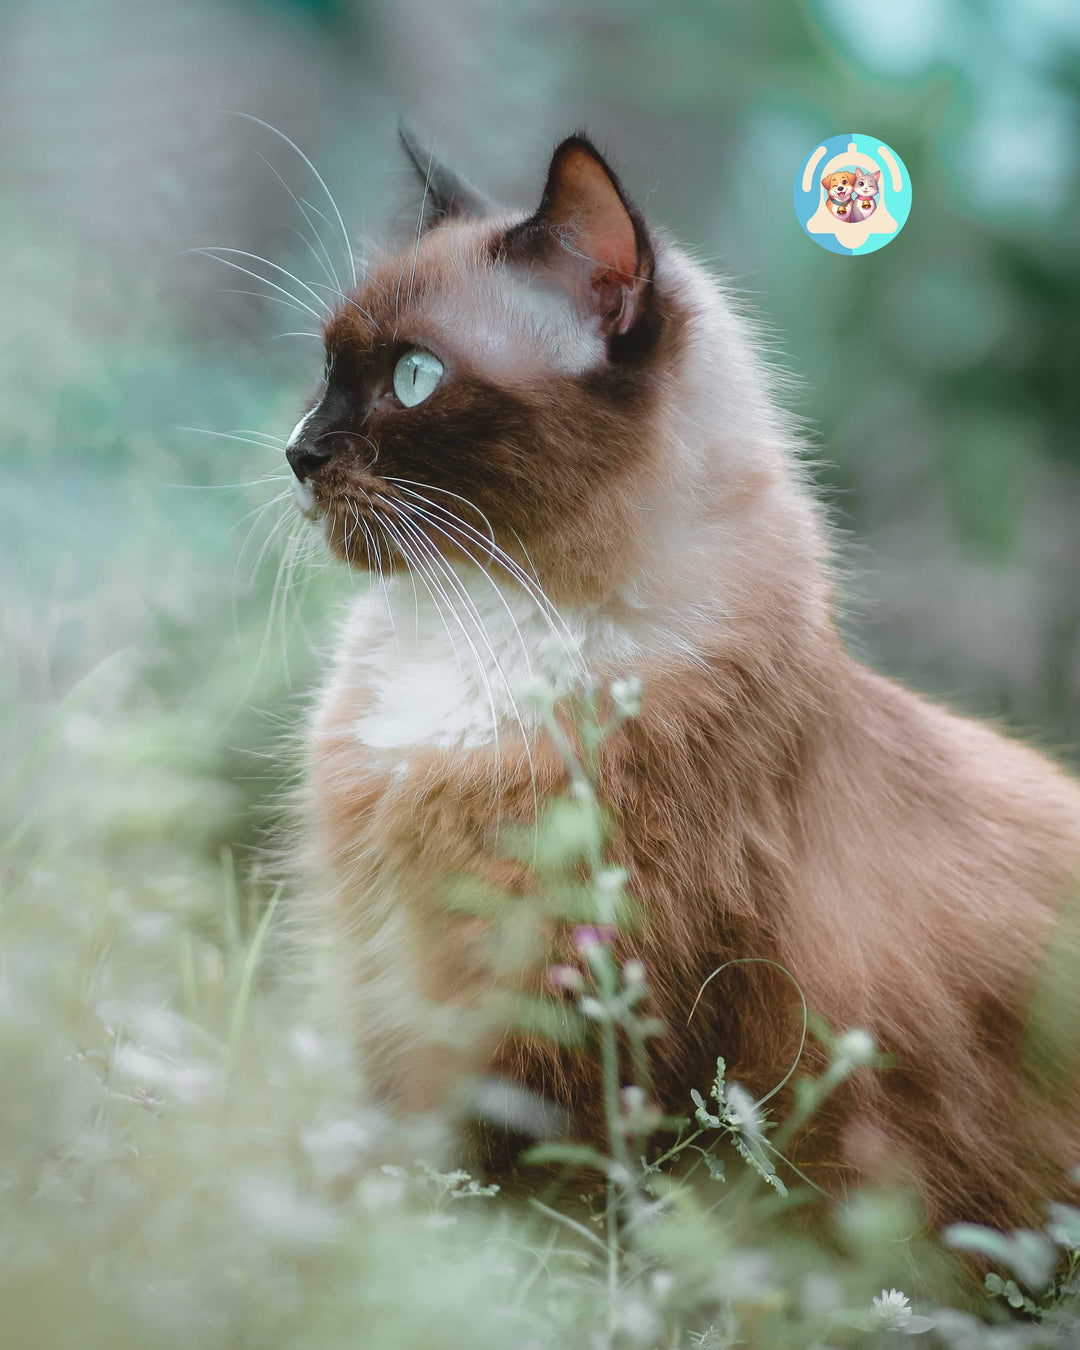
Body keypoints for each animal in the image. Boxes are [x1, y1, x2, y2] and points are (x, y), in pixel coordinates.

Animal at [286, 131, 1080, 1231]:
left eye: (413, 376)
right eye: (324, 369)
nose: (296, 453)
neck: (479, 630)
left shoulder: (558, 1029)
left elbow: (499, 1215)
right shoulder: (392, 991)